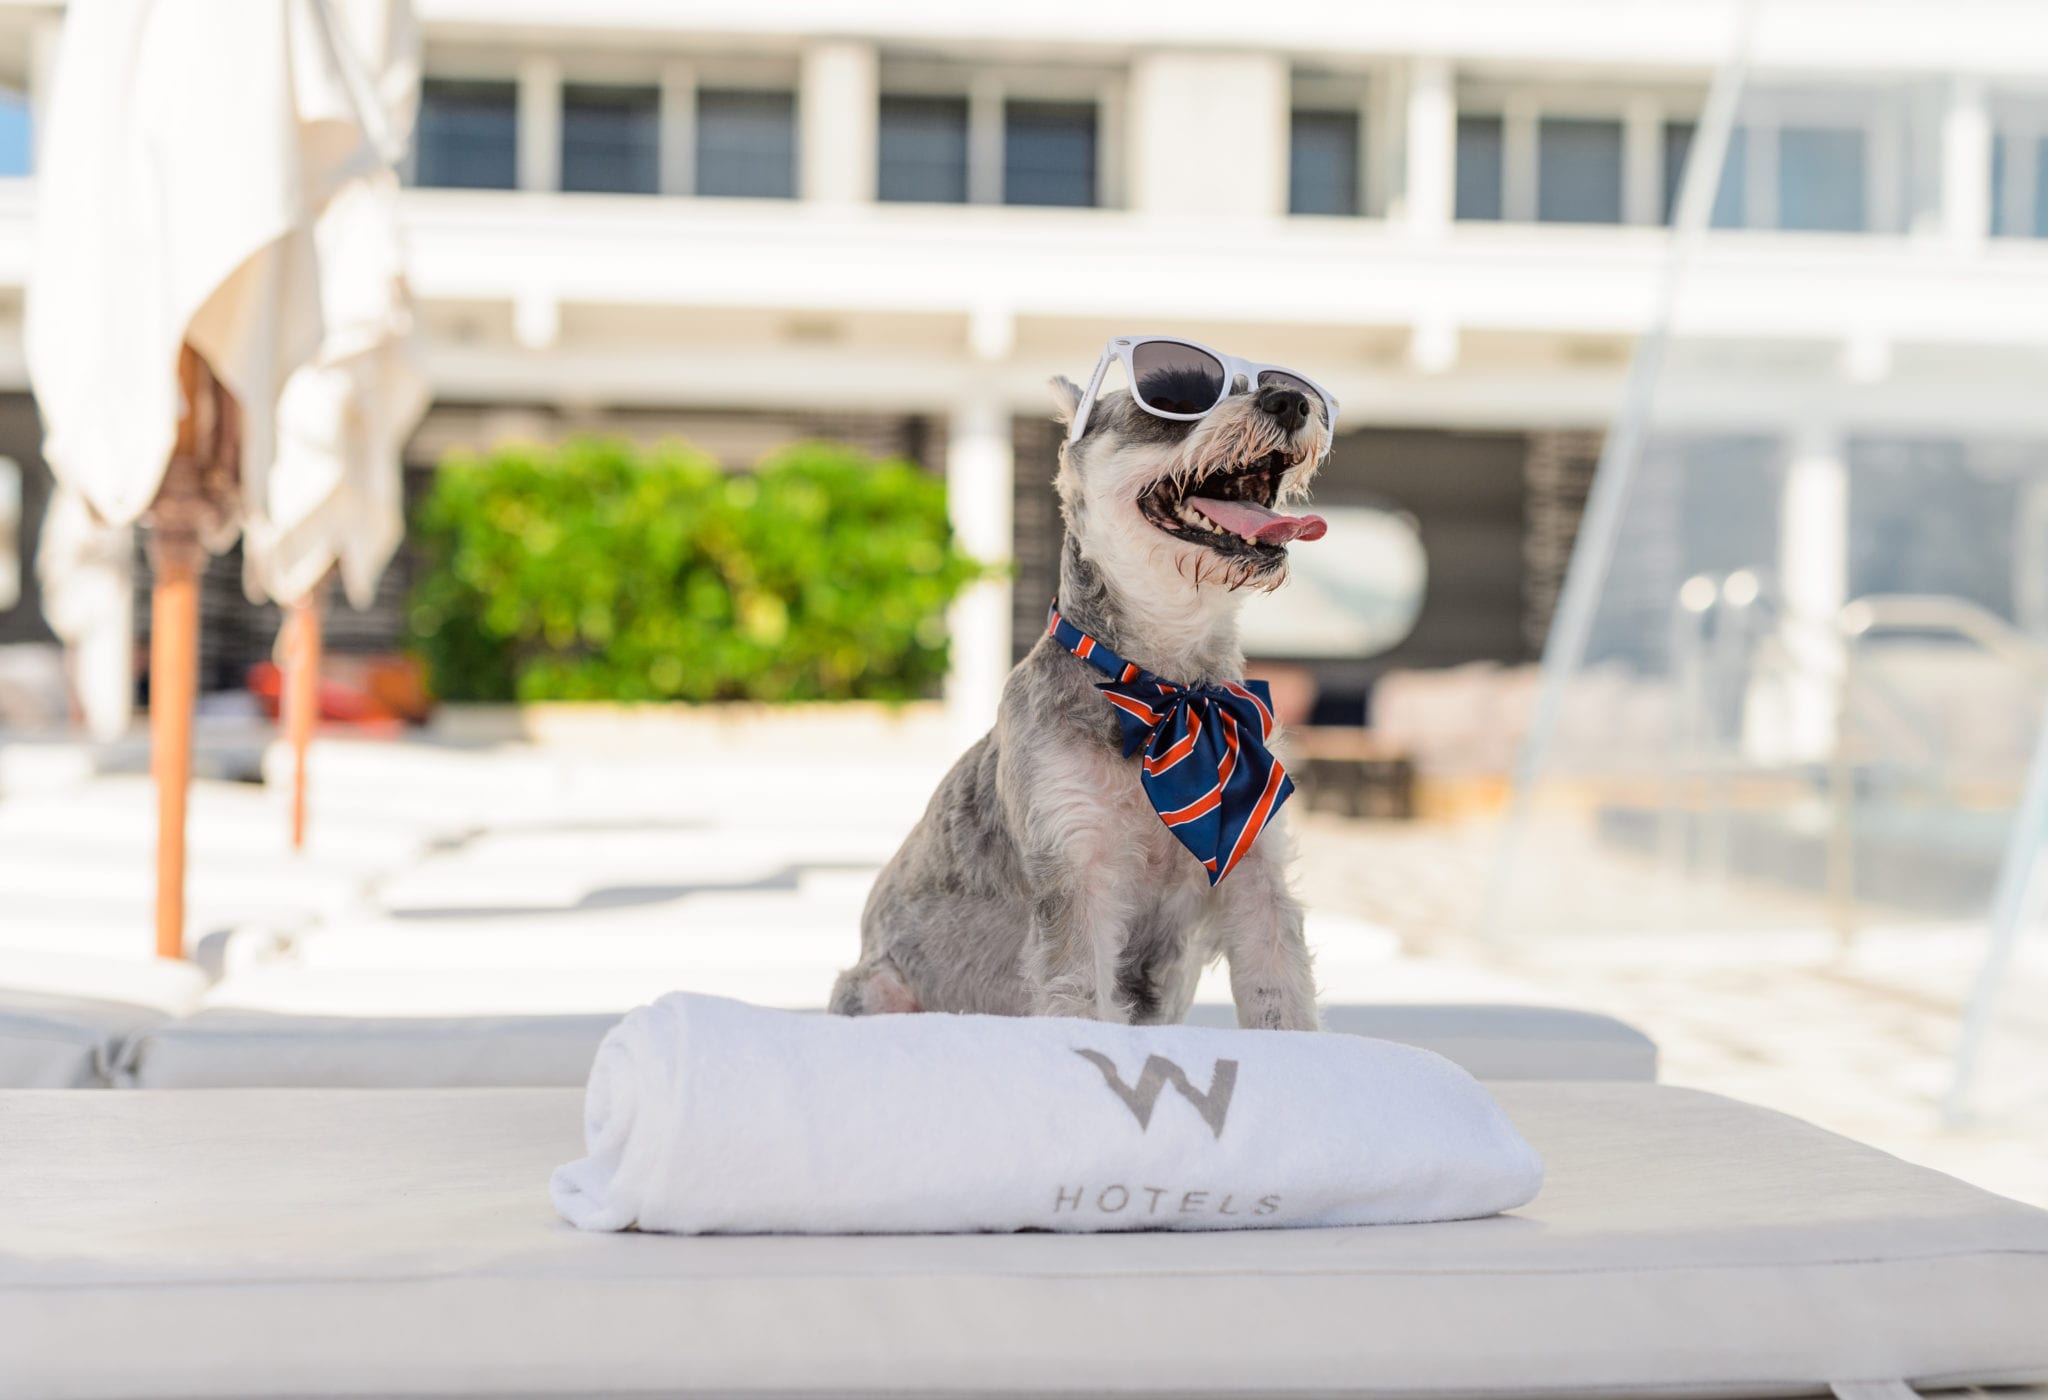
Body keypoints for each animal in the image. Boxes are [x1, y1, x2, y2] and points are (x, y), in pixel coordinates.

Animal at [827, 339, 1327, 1027]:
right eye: (1173, 397)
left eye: (1289, 387)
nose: (1291, 401)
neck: (1167, 689)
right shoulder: (1075, 865)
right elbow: (1081, 995)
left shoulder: (1256, 867)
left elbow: (1280, 993)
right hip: (876, 988)